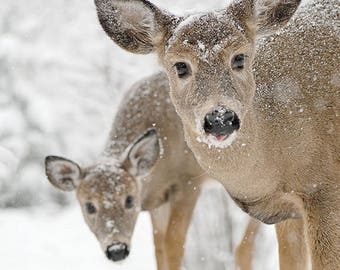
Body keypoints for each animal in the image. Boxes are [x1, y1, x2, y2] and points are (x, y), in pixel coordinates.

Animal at [45, 73, 258, 270]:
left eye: (129, 199)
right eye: (89, 206)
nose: (116, 250)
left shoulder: (189, 181)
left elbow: (173, 245)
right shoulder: (158, 200)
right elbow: (159, 248)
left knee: (244, 246)